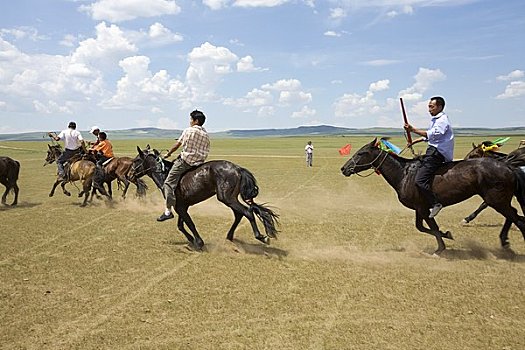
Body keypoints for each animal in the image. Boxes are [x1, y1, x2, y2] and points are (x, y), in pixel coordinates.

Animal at [130, 146, 278, 250]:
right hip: (230, 199)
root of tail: (238, 169)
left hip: (226, 198)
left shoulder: (179, 207)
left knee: (247, 212)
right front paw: (191, 239)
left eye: (136, 160)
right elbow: (181, 225)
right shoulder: (182, 206)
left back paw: (260, 236)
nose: (130, 175)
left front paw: (199, 242)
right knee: (239, 214)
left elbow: (189, 223)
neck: (164, 174)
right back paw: (229, 236)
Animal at [340, 138, 524, 256]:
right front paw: (447, 235)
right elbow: (422, 227)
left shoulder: (424, 209)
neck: (404, 173)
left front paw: (440, 247)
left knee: (517, 219)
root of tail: (507, 165)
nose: (344, 168)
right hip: (500, 200)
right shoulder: (419, 208)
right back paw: (505, 242)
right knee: (514, 215)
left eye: (362, 153)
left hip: (496, 200)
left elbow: (432, 227)